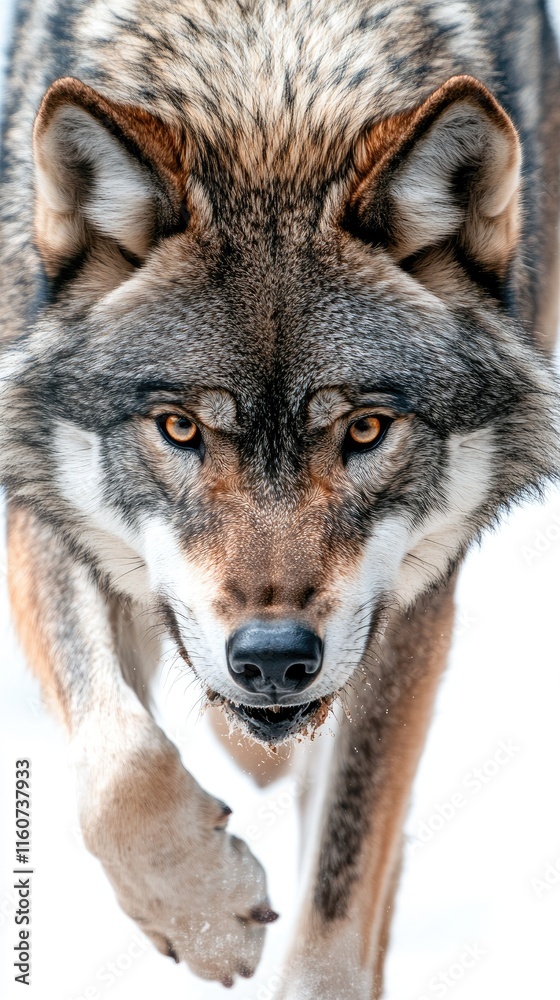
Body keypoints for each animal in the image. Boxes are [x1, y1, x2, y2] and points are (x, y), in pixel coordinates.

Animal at [1, 0, 559, 995]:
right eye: (180, 428)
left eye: (366, 430)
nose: (271, 659)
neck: (272, 90)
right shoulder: (39, 490)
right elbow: (122, 767)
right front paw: (206, 914)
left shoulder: (409, 608)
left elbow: (339, 888)